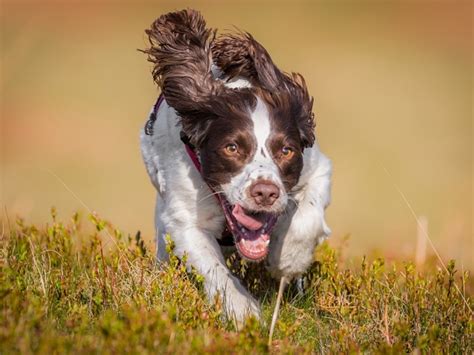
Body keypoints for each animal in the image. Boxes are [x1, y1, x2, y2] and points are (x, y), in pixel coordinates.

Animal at [140, 9, 334, 326]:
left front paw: (288, 259)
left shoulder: (317, 168)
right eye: (232, 148)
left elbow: (307, 217)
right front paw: (243, 312)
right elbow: (213, 268)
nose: (265, 192)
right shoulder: (184, 219)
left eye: (286, 150)